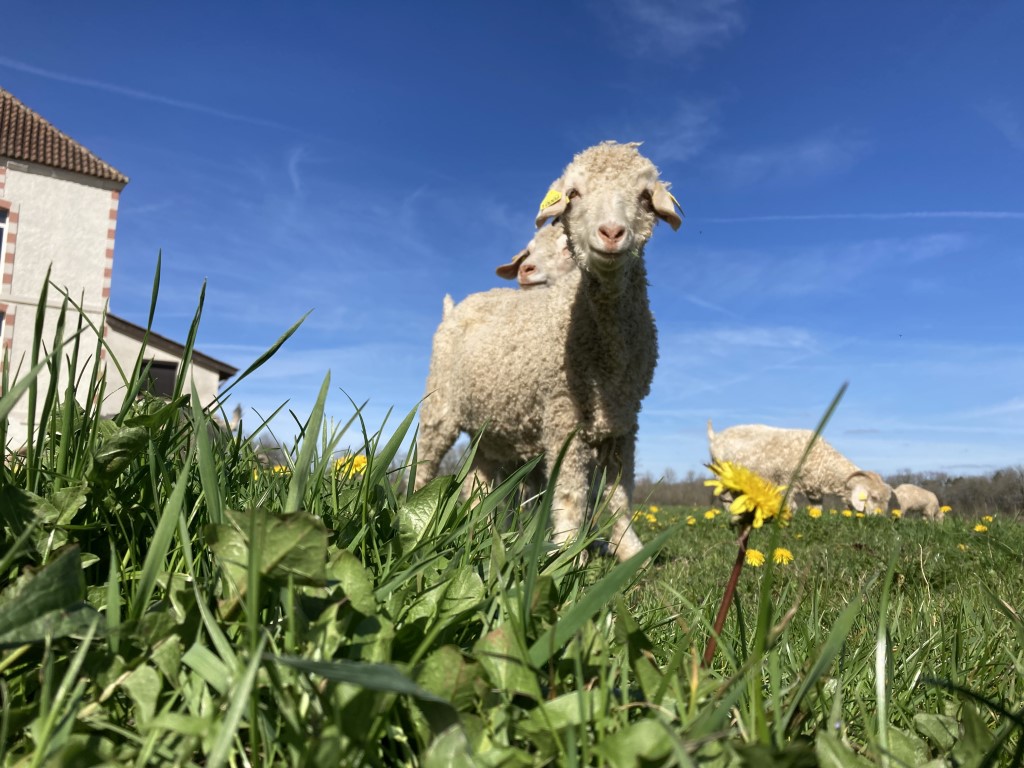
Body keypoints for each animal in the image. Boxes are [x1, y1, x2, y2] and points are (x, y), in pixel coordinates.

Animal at [411, 141, 684, 561]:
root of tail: (456, 306)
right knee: (426, 463)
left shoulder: (624, 422)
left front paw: (629, 551)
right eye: (573, 195)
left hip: (491, 429)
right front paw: (569, 554)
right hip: (439, 406)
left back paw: (481, 530)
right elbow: (570, 495)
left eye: (643, 197)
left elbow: (619, 496)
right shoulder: (561, 415)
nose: (611, 232)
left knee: (479, 481)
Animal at [704, 423, 897, 514]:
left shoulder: (814, 489)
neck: (818, 455)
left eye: (887, 499)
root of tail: (715, 437)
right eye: (874, 497)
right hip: (723, 476)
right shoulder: (786, 480)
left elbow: (817, 509)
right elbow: (791, 506)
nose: (879, 517)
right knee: (725, 498)